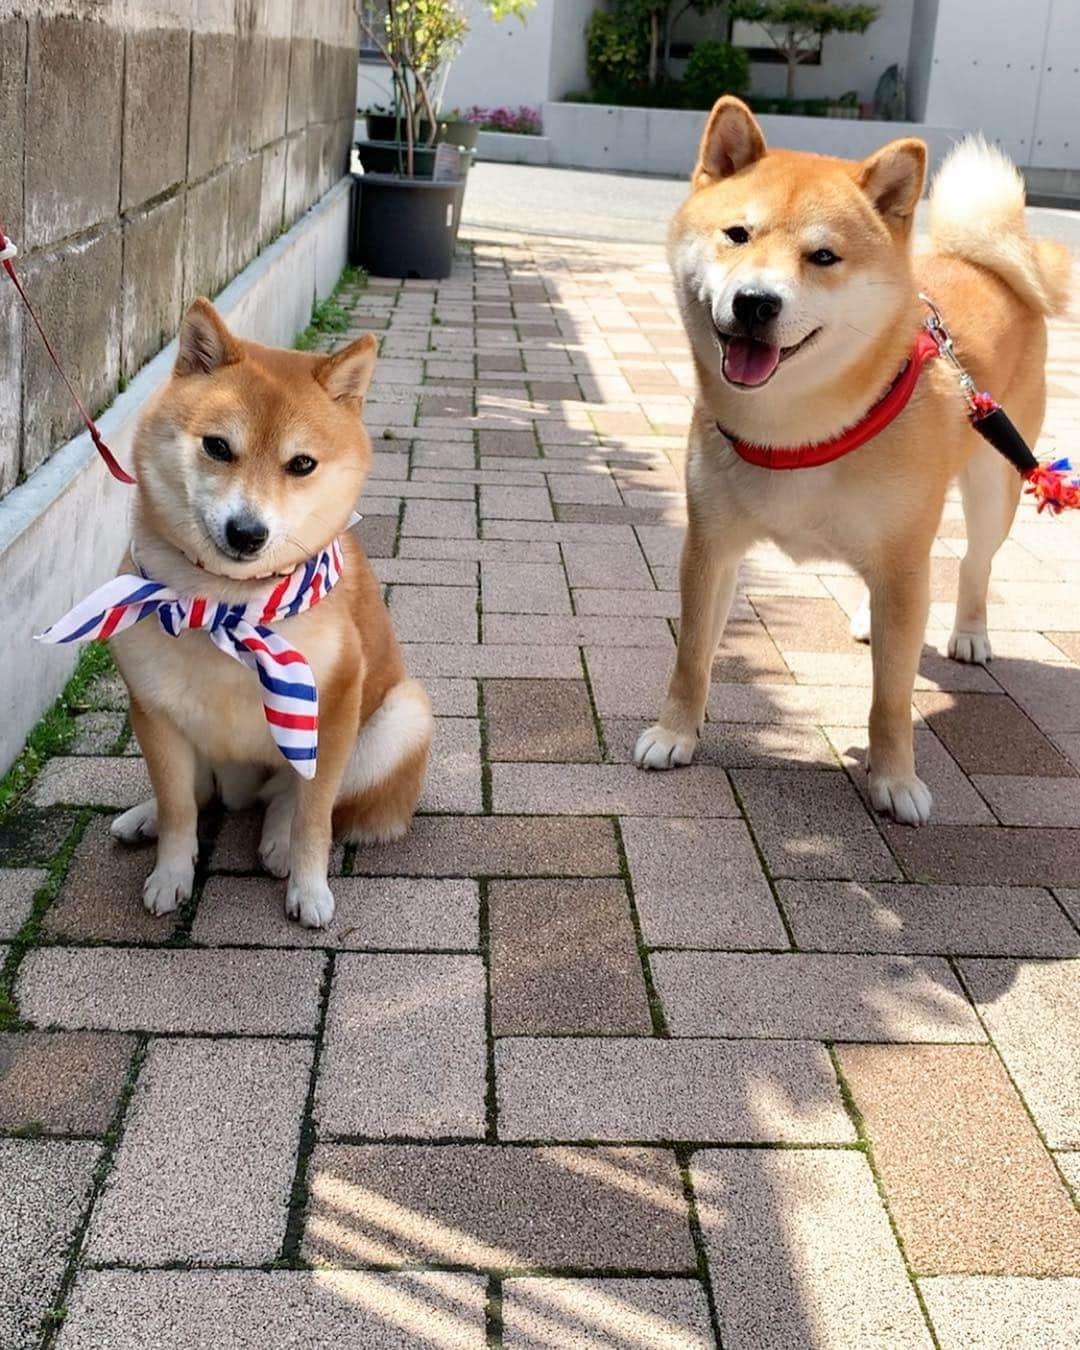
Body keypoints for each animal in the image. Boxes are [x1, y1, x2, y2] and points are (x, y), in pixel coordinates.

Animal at [80, 299, 429, 923]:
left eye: (302, 464)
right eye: (218, 447)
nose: (247, 532)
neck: (224, 606)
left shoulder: (332, 709)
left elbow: (315, 817)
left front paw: (309, 887)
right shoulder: (154, 712)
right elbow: (178, 808)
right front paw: (171, 873)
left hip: (400, 718)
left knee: (297, 798)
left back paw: (278, 841)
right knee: (198, 795)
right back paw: (144, 818)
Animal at [631, 97, 1069, 820]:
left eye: (824, 256)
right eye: (737, 234)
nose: (755, 302)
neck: (795, 430)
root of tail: (984, 265)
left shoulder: (902, 554)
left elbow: (891, 697)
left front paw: (895, 780)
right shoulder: (711, 545)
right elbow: (691, 657)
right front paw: (675, 734)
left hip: (993, 488)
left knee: (972, 564)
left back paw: (970, 632)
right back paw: (871, 616)